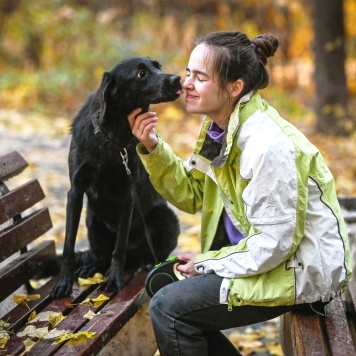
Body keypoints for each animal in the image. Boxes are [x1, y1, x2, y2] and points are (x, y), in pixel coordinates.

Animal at [50, 57, 181, 298]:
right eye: (141, 73)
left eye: (158, 66)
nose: (177, 79)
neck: (112, 137)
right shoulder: (75, 191)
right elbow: (68, 245)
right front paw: (63, 282)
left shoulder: (127, 194)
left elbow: (119, 247)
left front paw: (114, 279)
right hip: (92, 220)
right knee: (99, 255)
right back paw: (92, 266)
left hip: (166, 218)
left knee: (145, 254)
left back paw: (148, 262)